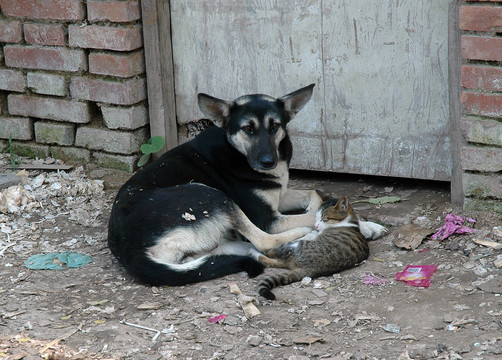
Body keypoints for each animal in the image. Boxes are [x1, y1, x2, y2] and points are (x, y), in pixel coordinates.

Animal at [108, 83, 386, 286]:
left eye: (275, 126)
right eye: (247, 129)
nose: (268, 162)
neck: (236, 151)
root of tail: (129, 250)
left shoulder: (278, 194)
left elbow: (311, 193)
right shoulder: (268, 218)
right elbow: (312, 216)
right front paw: (365, 225)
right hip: (209, 195)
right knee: (264, 241)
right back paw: (303, 234)